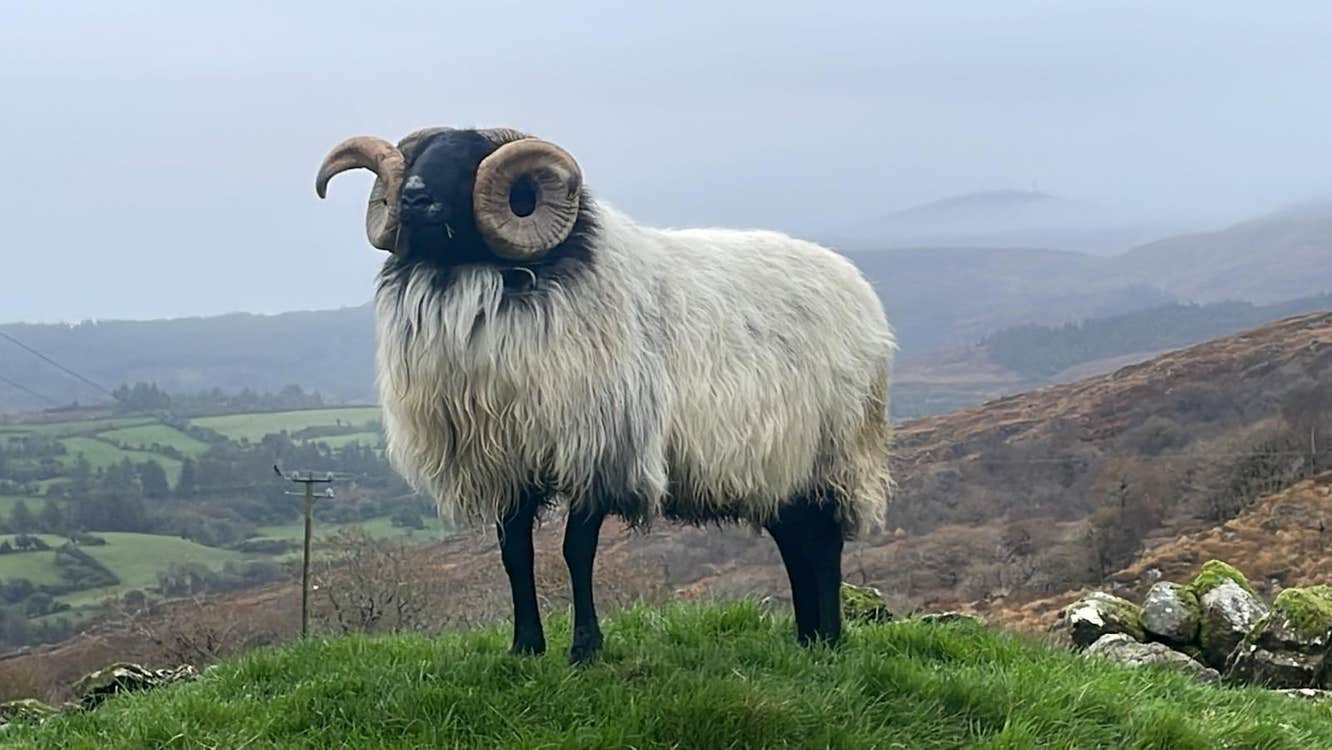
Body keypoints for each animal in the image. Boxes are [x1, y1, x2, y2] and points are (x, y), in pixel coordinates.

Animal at [315, 126, 894, 663]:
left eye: (468, 160)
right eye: (416, 158)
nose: (412, 198)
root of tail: (860, 290)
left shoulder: (598, 449)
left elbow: (577, 551)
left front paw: (585, 649)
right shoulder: (508, 457)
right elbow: (514, 555)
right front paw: (525, 647)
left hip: (831, 451)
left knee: (824, 542)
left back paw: (829, 639)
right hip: (779, 463)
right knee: (797, 539)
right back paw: (808, 638)